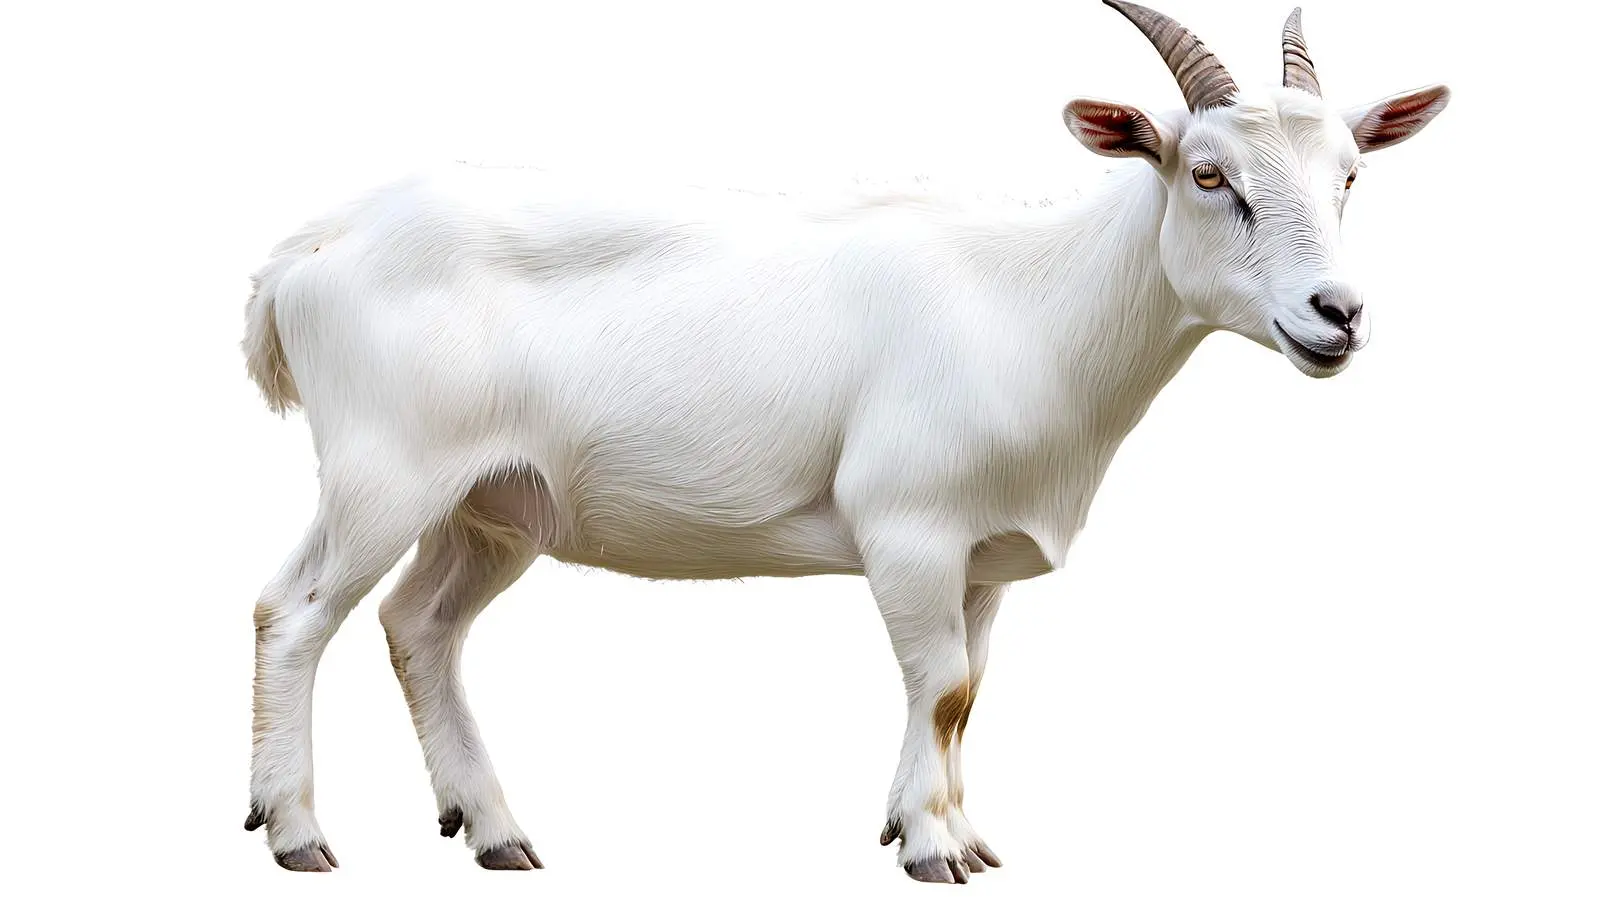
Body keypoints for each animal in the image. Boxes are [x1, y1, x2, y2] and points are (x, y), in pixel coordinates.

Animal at [242, 1, 1449, 883]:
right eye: (1207, 175)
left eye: (1349, 176)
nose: (1338, 314)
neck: (1032, 305)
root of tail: (311, 248)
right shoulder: (906, 525)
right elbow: (942, 683)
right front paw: (929, 849)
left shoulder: (981, 554)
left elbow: (965, 695)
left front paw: (953, 831)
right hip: (385, 468)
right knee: (294, 610)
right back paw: (295, 830)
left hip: (495, 497)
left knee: (421, 624)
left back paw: (493, 830)